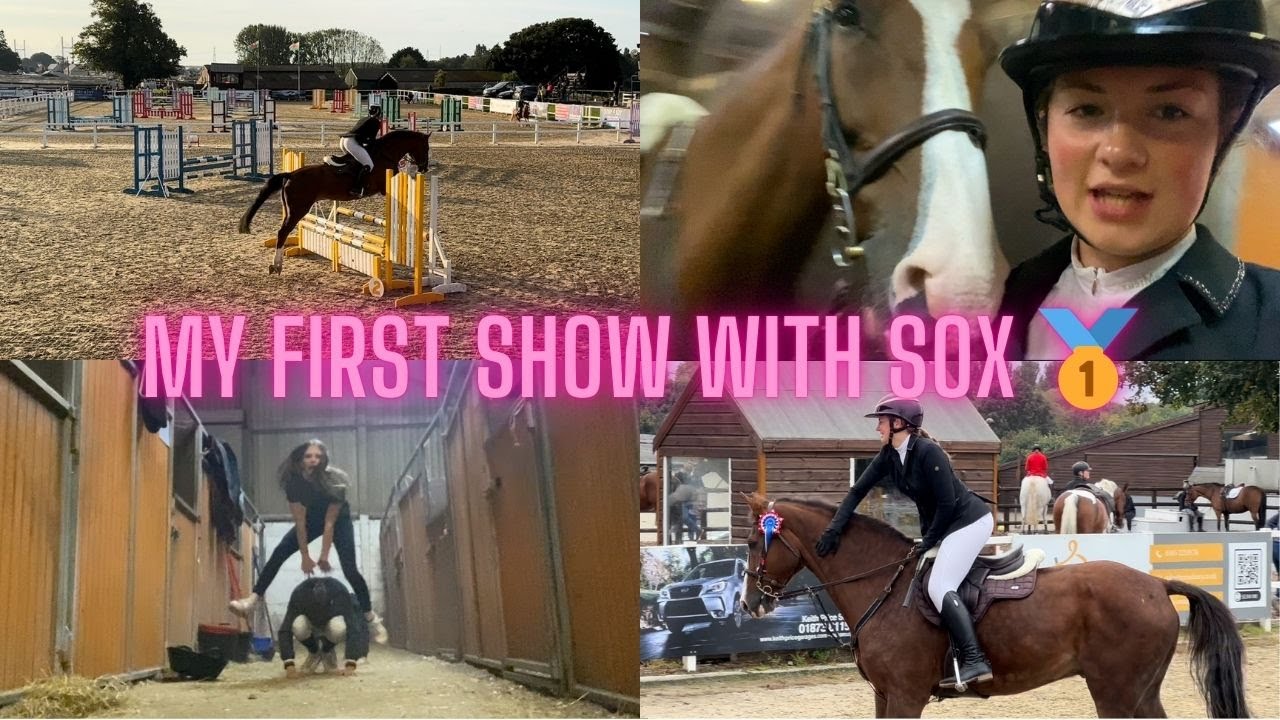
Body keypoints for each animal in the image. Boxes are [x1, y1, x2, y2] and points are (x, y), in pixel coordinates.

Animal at [238, 130, 432, 274]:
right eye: (426, 148)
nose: (424, 168)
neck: (385, 154)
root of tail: (291, 174)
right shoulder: (384, 185)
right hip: (298, 210)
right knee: (282, 232)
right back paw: (276, 266)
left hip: (289, 209)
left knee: (283, 231)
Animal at [740, 493, 1250, 718]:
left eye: (751, 542)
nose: (748, 604)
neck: (881, 585)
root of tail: (1156, 585)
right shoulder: (884, 695)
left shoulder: (905, 695)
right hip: (1137, 692)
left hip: (1117, 692)